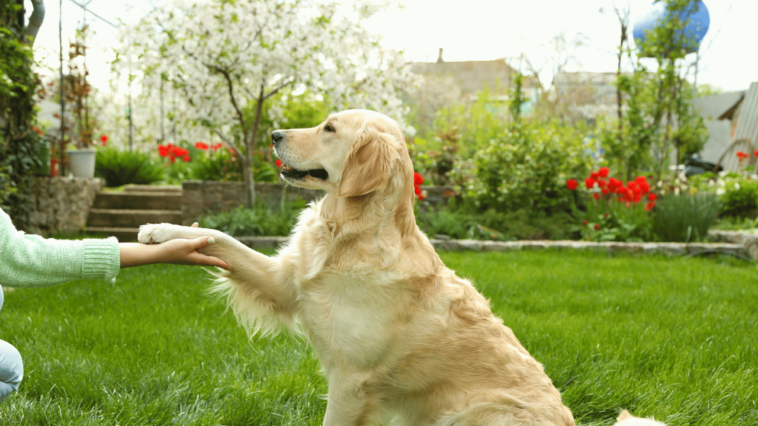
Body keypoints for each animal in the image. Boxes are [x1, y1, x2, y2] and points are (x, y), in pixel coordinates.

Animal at [138, 110, 640, 426]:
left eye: (329, 128)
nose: (275, 134)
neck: (347, 234)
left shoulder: (352, 381)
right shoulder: (287, 284)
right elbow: (221, 237)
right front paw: (162, 231)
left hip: (474, 412)